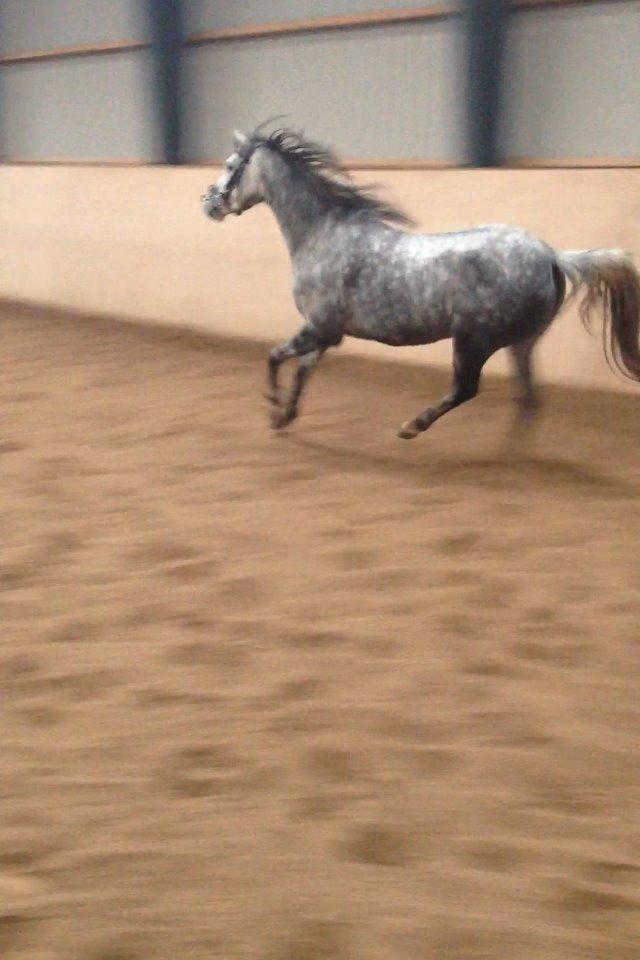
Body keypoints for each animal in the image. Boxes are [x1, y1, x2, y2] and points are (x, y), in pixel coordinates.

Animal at [201, 124, 640, 439]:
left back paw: (412, 427)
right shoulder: (325, 332)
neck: (324, 234)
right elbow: (302, 372)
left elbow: (274, 357)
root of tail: (551, 256)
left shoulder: (319, 328)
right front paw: (285, 417)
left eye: (230, 166)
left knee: (467, 389)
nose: (208, 203)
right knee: (529, 397)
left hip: (473, 340)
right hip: (521, 343)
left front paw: (272, 408)